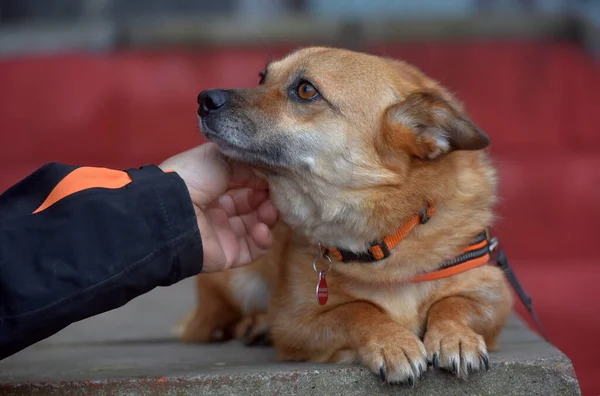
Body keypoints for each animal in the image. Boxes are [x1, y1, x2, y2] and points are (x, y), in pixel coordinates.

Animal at [178, 45, 510, 384]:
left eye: (306, 90)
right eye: (262, 77)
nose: (204, 99)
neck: (385, 238)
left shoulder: (494, 291)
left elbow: (454, 302)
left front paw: (455, 337)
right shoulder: (295, 322)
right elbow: (357, 310)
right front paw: (393, 342)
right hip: (235, 284)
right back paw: (255, 325)